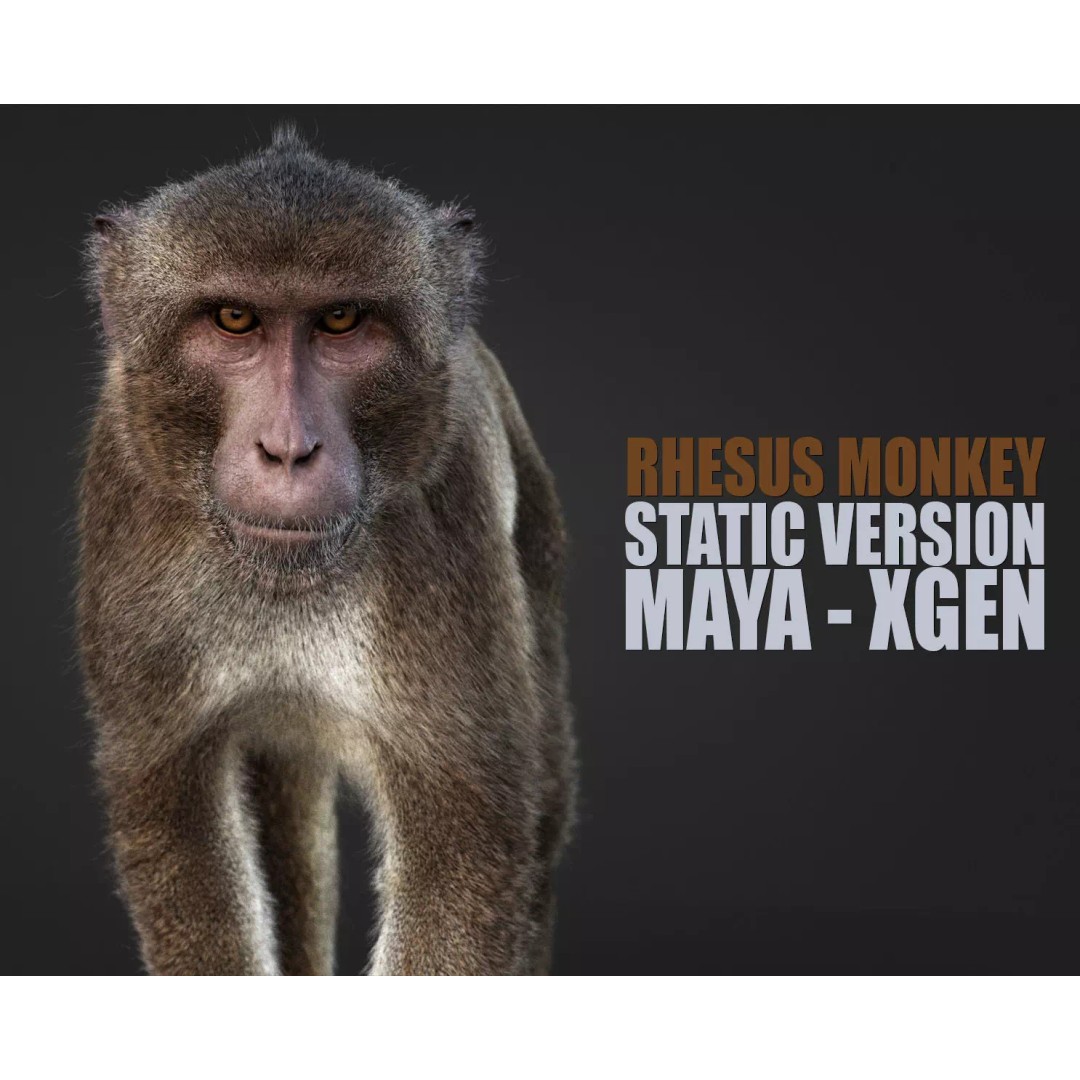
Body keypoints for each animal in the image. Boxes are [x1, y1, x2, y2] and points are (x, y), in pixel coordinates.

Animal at [77, 128, 575, 975]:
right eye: (234, 319)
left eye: (341, 320)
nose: (288, 449)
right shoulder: (125, 494)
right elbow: (173, 813)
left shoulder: (443, 522)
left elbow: (466, 844)